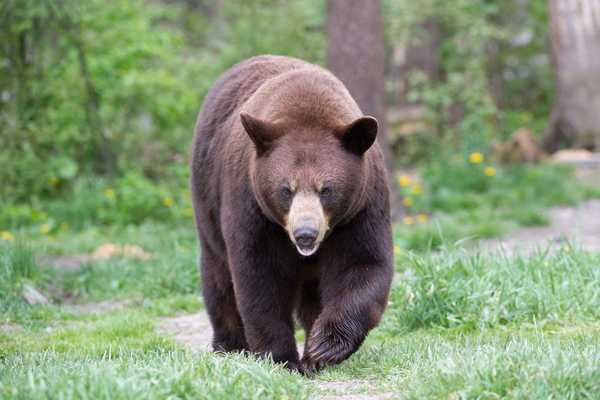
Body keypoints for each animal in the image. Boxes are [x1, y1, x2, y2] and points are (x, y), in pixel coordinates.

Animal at [190, 54, 392, 374]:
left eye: (326, 189)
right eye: (286, 189)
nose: (305, 234)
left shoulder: (361, 209)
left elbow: (363, 265)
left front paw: (322, 348)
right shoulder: (252, 208)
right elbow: (259, 277)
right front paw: (281, 357)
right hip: (207, 200)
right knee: (218, 277)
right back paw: (229, 345)